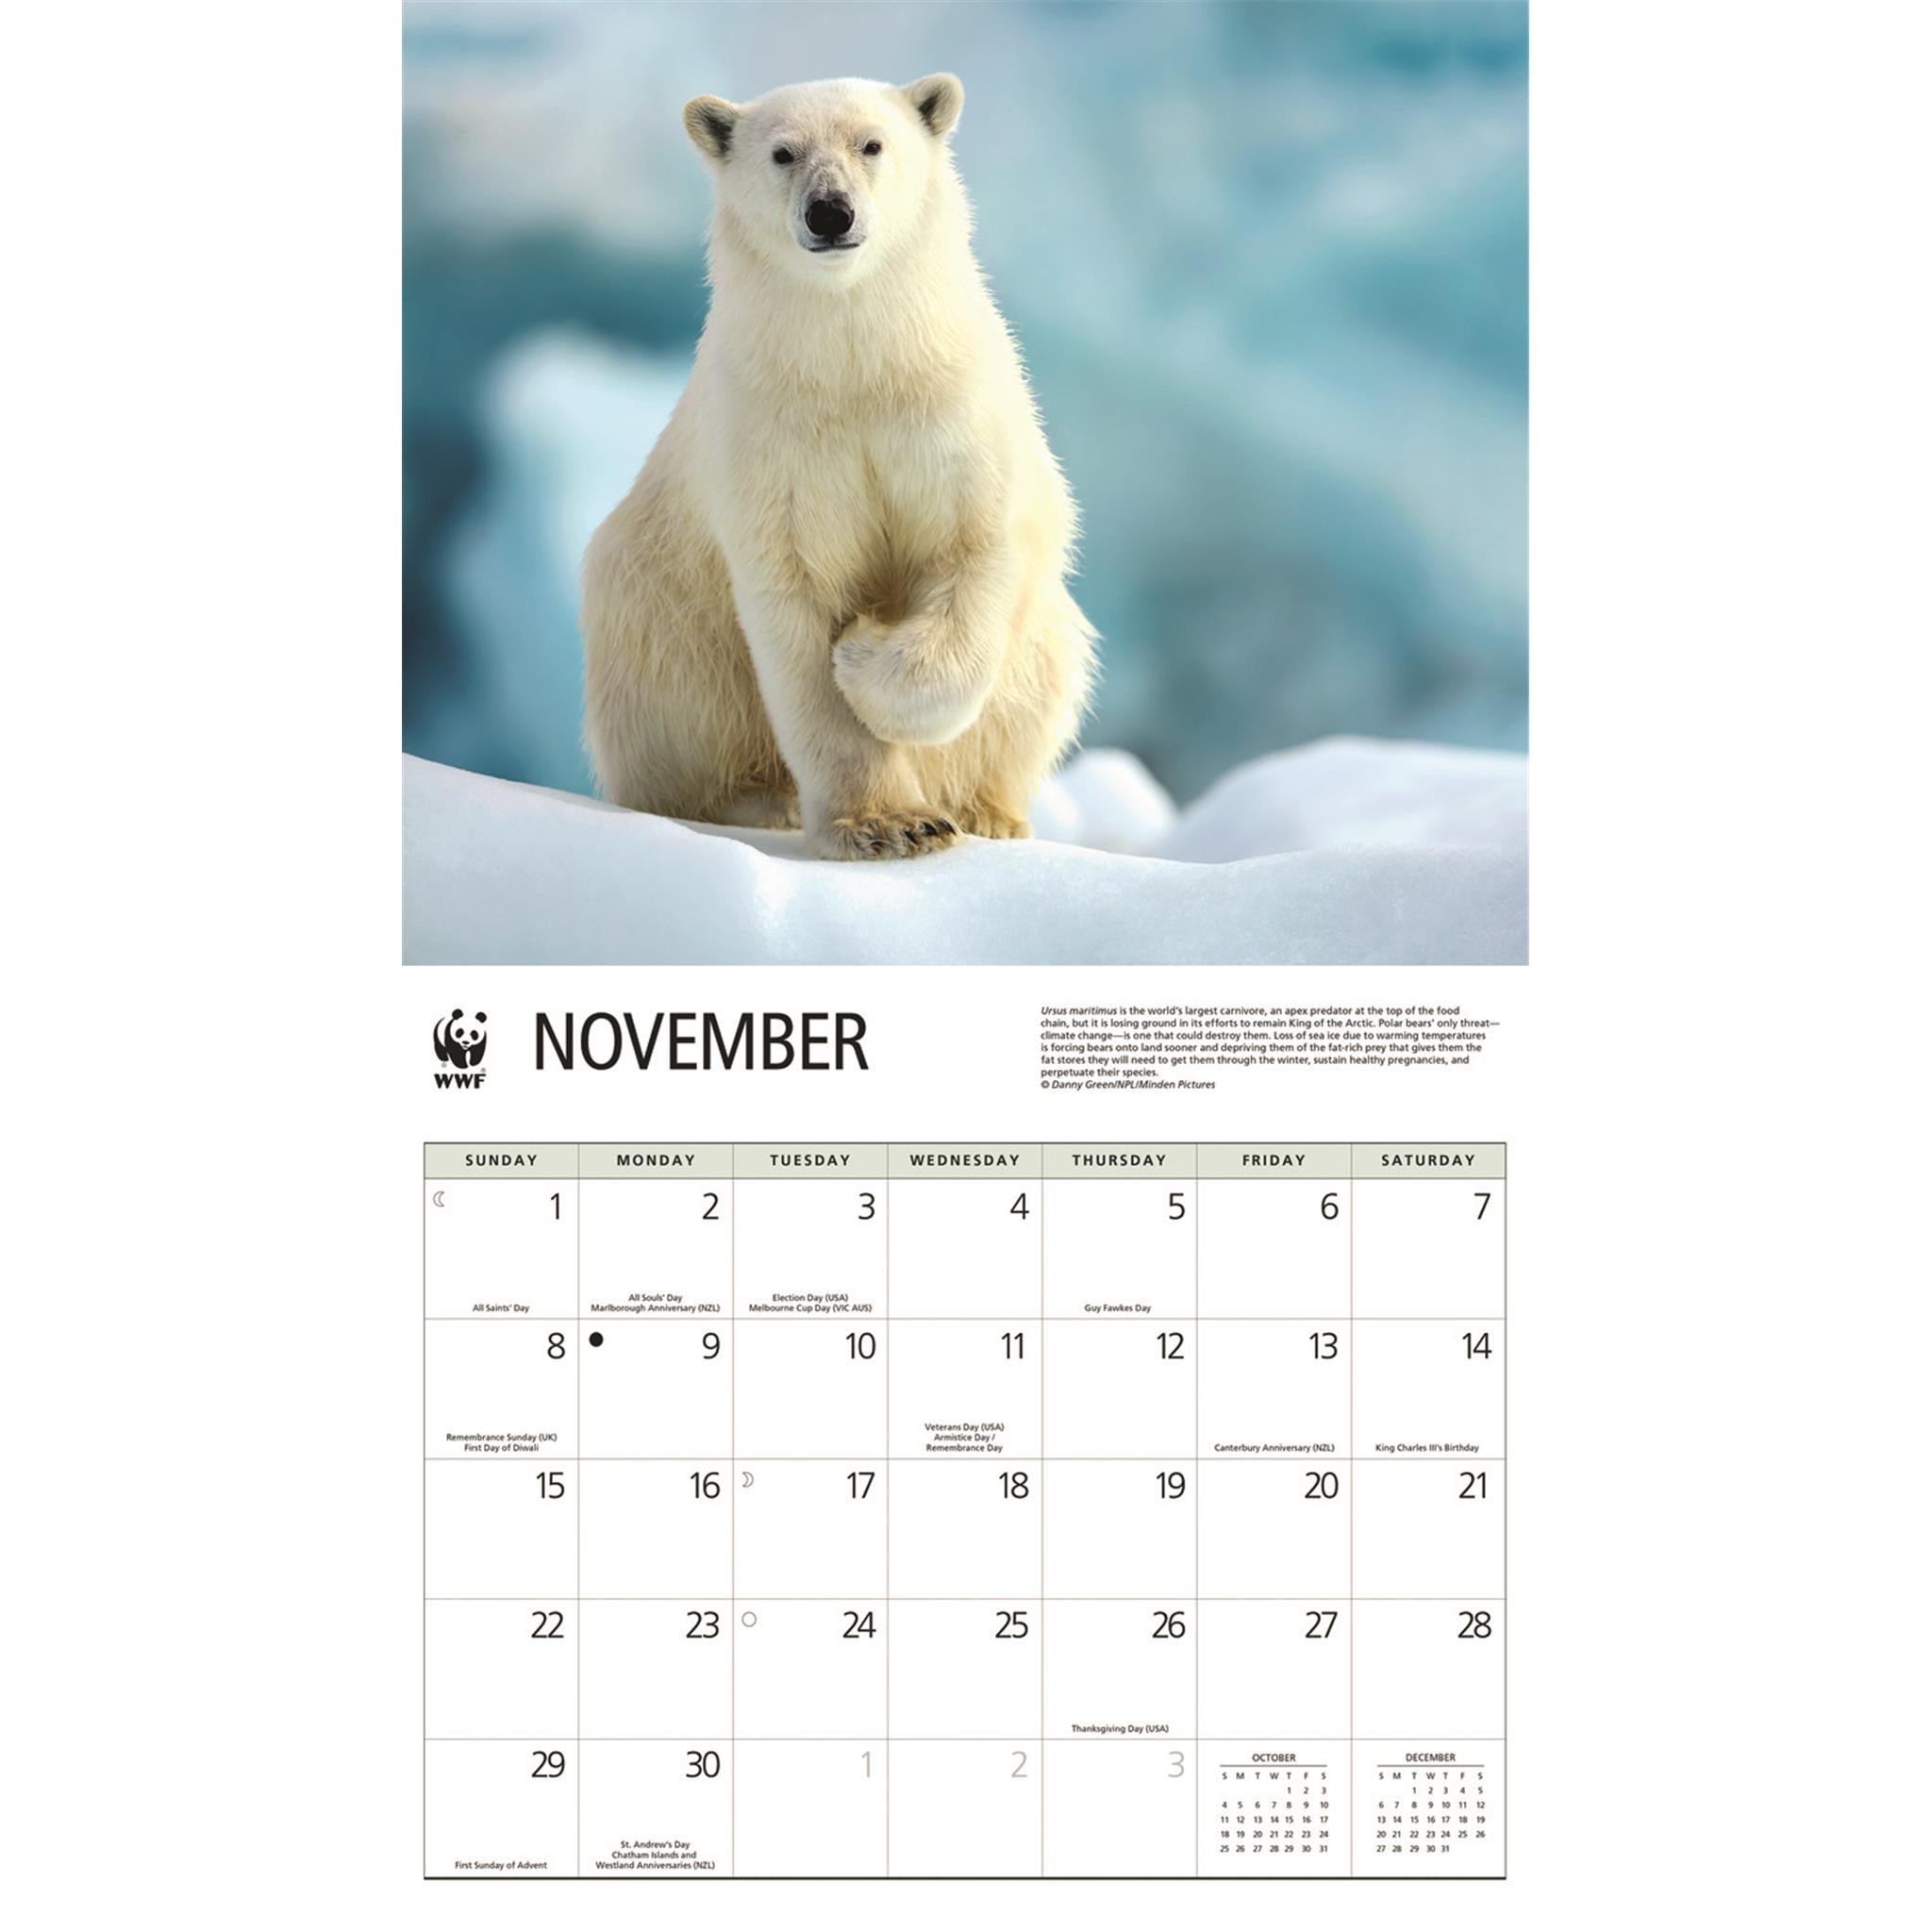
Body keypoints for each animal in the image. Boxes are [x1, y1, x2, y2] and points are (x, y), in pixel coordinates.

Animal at [582, 73, 1096, 860]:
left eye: (871, 143)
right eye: (783, 153)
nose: (831, 211)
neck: (857, 364)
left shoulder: (950, 419)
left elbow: (974, 548)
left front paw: (862, 654)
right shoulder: (774, 447)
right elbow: (794, 604)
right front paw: (890, 823)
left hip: (1041, 644)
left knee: (1035, 682)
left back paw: (989, 810)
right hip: (658, 605)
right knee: (677, 702)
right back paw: (753, 800)